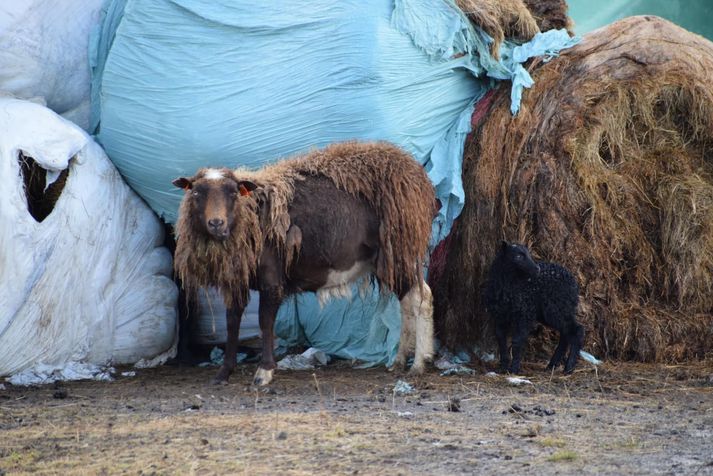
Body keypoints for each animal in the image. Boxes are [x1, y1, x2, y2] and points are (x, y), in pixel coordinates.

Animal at [175, 139, 436, 384]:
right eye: (196, 193)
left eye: (233, 193)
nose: (216, 223)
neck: (251, 217)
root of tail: (418, 178)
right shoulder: (236, 280)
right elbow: (232, 323)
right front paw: (224, 373)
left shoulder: (272, 278)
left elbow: (265, 322)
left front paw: (264, 372)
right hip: (388, 261)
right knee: (407, 301)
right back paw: (400, 361)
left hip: (400, 250)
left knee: (421, 298)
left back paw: (419, 364)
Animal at [484, 242, 584, 376]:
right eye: (518, 256)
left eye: (529, 254)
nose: (537, 269)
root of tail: (574, 283)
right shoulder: (499, 317)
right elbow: (501, 340)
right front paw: (503, 368)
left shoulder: (525, 315)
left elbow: (517, 341)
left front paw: (514, 370)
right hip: (552, 312)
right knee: (566, 333)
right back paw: (552, 365)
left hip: (557, 308)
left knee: (577, 330)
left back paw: (569, 368)